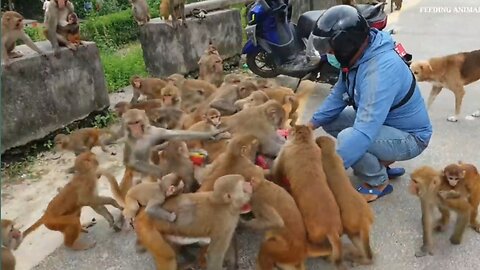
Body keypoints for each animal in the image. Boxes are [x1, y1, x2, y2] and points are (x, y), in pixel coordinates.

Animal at [270, 125, 344, 268]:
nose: (287, 130)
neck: (304, 142)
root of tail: (331, 228)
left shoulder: (283, 155)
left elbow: (277, 171)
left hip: (313, 233)